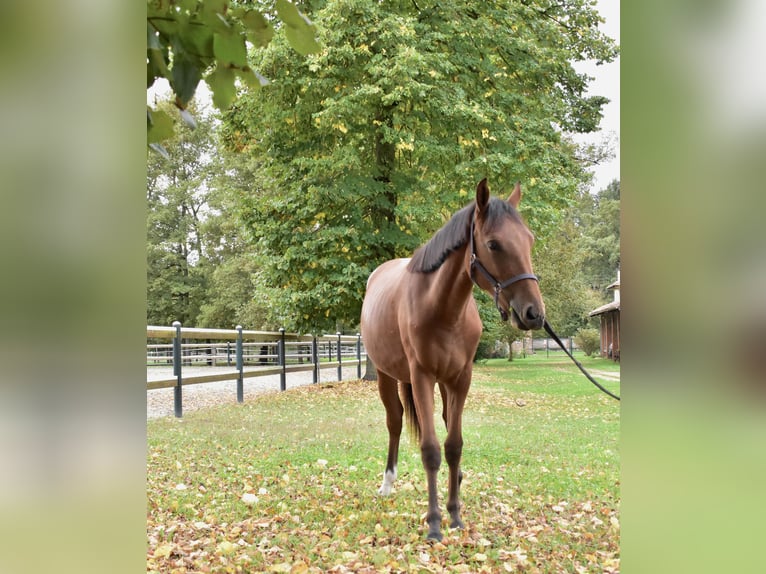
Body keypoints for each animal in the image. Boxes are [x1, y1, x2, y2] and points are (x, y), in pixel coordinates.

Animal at [360, 180, 544, 544]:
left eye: (529, 239)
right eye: (493, 244)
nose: (533, 313)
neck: (441, 308)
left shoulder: (461, 378)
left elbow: (454, 445)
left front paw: (455, 514)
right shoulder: (421, 377)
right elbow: (431, 449)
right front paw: (434, 523)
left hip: (442, 383)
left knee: (443, 421)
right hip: (387, 375)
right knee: (395, 422)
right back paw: (387, 483)